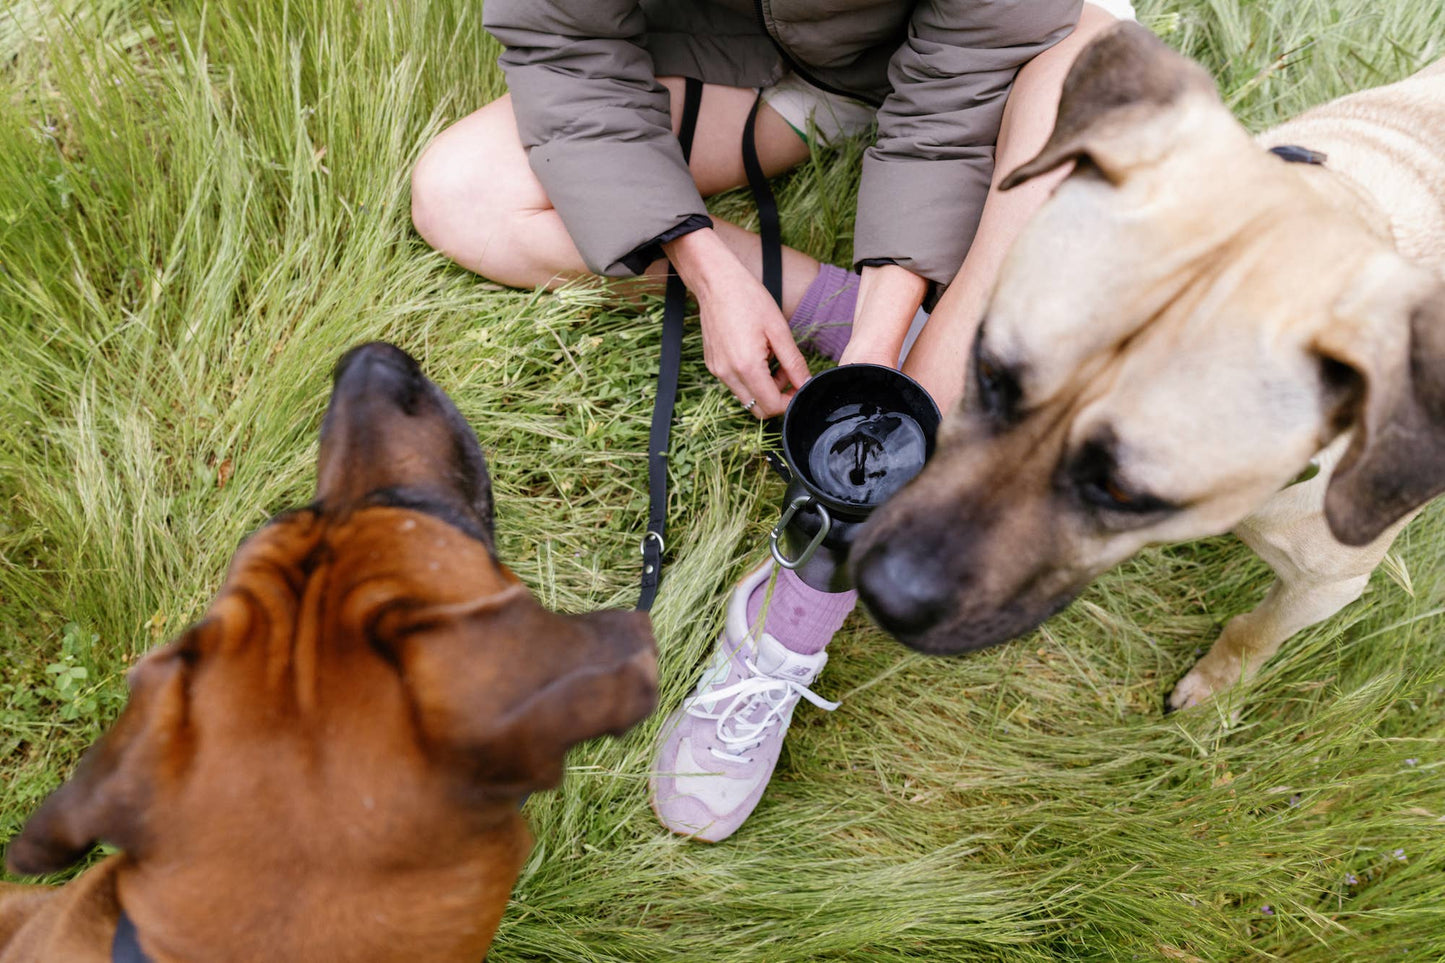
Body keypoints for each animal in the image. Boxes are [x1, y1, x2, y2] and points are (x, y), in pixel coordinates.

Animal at [849, 24, 1445, 711]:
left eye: (1124, 493)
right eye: (989, 371)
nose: (881, 592)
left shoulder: (1327, 586)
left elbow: (1257, 632)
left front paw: (1216, 686)